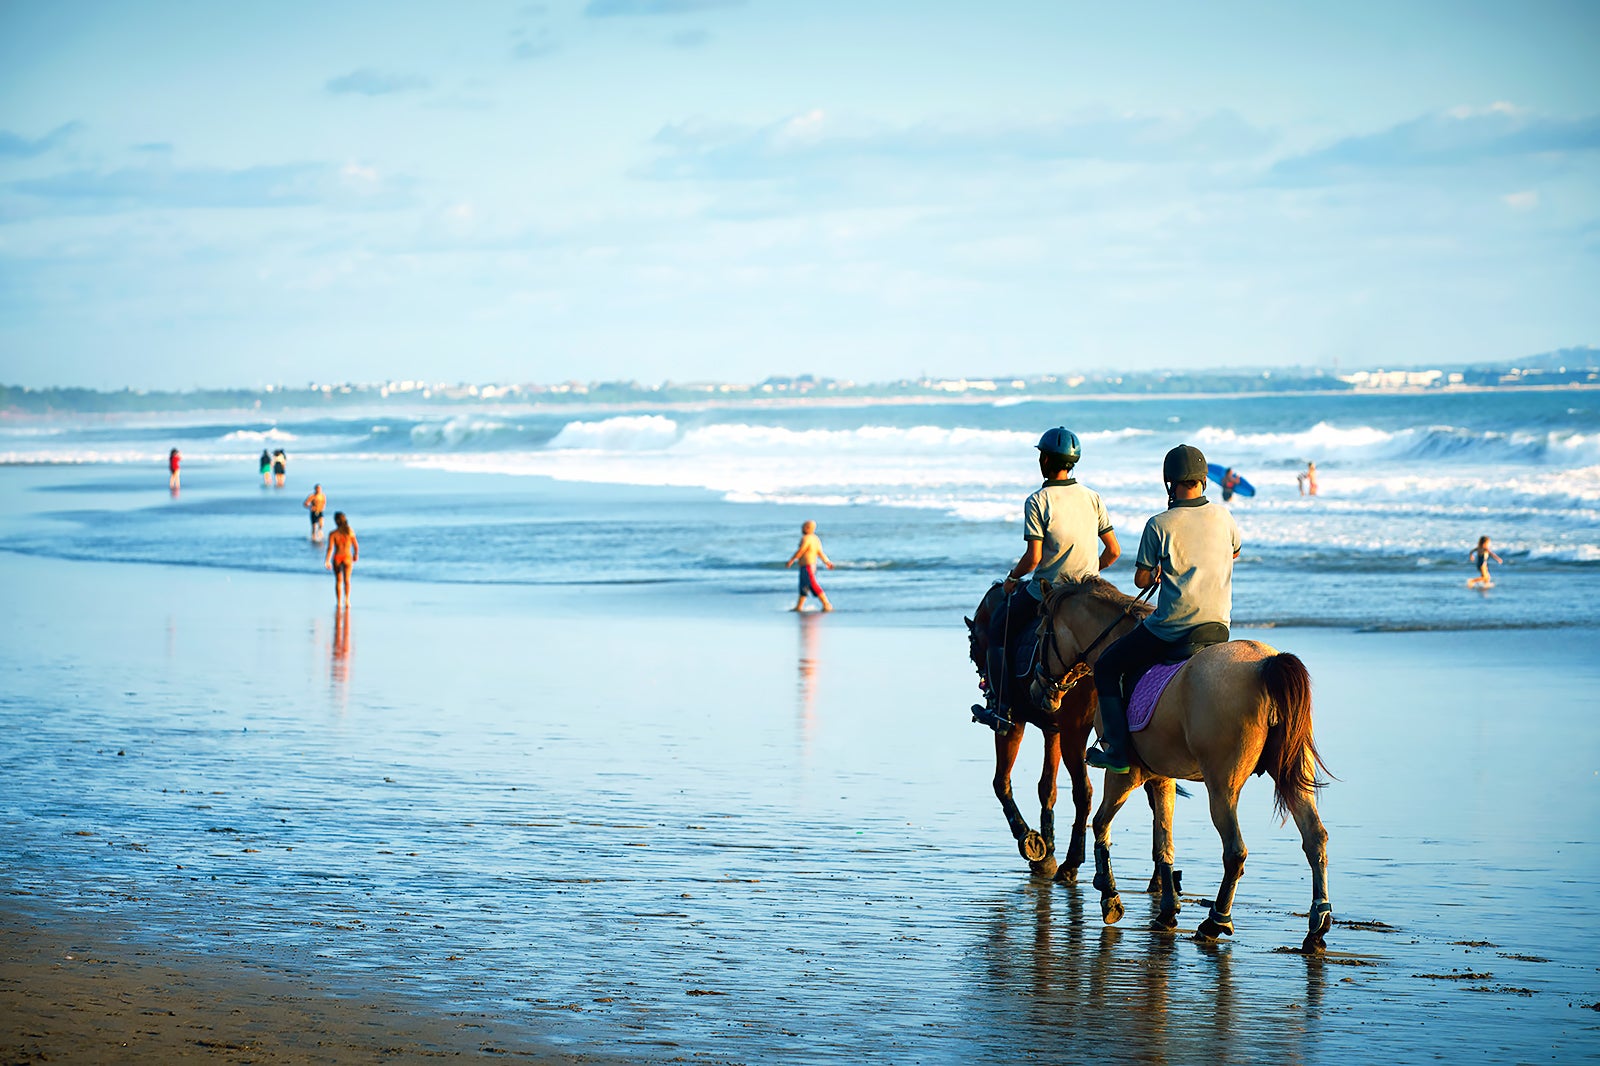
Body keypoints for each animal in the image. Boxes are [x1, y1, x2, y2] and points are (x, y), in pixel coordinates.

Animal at [1030, 576, 1331, 947]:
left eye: (1040, 632)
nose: (1038, 689)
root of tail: (1265, 663)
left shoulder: (1125, 774)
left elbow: (1101, 824)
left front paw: (1109, 895)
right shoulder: (1161, 776)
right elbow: (1164, 842)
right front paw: (1166, 911)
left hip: (1222, 786)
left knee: (1235, 851)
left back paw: (1216, 920)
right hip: (1292, 772)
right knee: (1315, 838)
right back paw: (1317, 925)